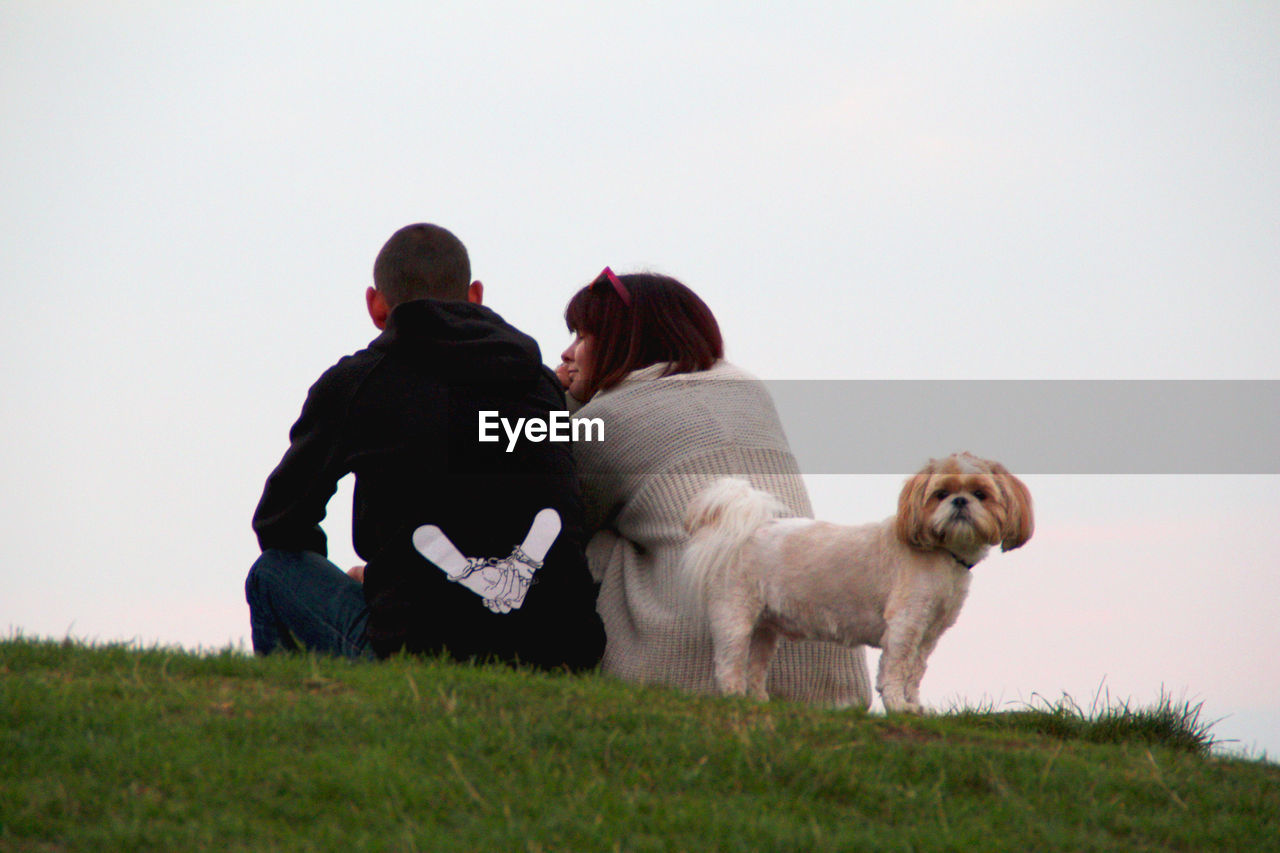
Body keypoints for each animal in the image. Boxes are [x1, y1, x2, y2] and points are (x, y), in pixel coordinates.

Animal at [680, 450, 1029, 712]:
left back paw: (758, 701)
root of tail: (746, 529)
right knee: (729, 662)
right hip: (734, 615)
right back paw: (734, 697)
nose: (959, 502)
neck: (942, 553)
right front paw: (898, 707)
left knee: (755, 664)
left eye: (981, 494)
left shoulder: (929, 633)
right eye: (940, 494)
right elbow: (895, 667)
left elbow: (915, 671)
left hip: (765, 627)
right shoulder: (906, 623)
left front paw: (914, 706)